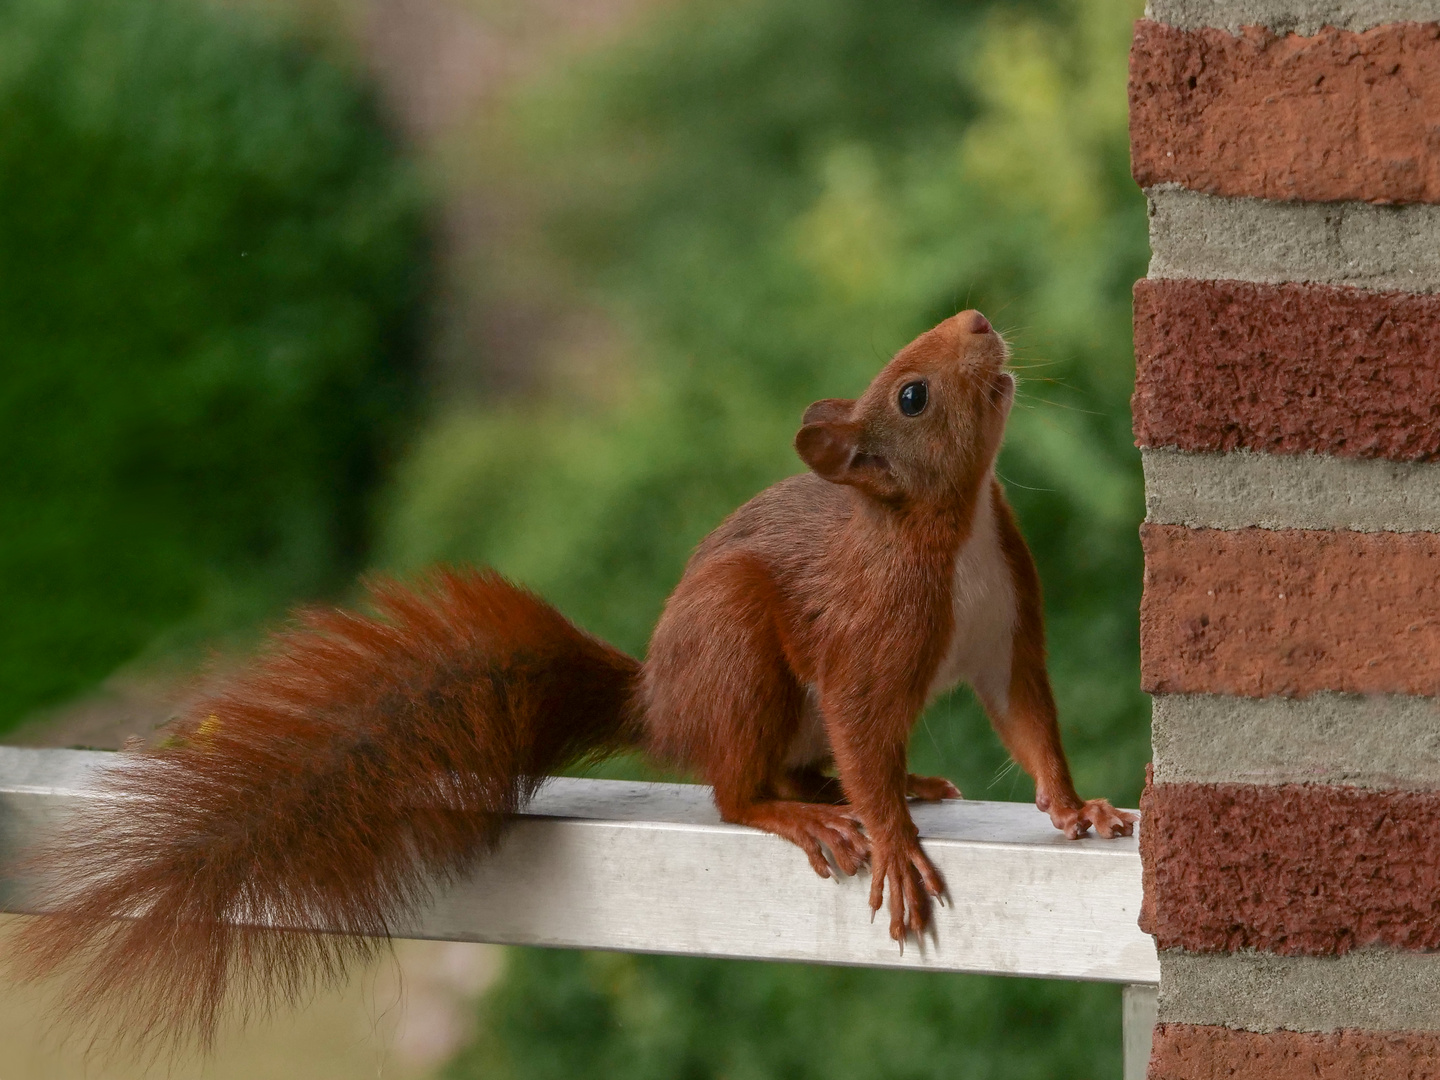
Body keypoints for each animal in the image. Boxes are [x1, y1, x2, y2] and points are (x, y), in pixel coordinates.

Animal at [11, 308, 1134, 1054]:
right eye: (911, 392)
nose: (978, 318)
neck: (957, 528)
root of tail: (660, 699)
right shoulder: (867, 638)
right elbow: (865, 723)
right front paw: (898, 852)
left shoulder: (1006, 631)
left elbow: (1029, 722)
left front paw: (1075, 810)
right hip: (738, 654)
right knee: (738, 790)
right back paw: (816, 812)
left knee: (796, 769)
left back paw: (894, 787)